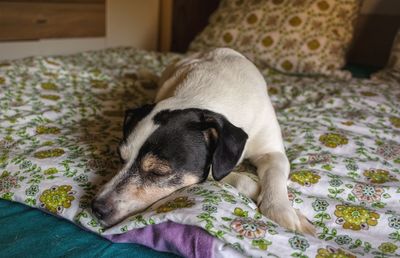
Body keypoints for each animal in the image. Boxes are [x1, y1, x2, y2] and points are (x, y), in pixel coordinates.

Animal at [91, 47, 316, 235]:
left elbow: (275, 173)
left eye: (158, 172)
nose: (96, 209)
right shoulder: (211, 170)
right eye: (120, 159)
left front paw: (281, 210)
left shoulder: (272, 151)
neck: (203, 94)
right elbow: (231, 177)